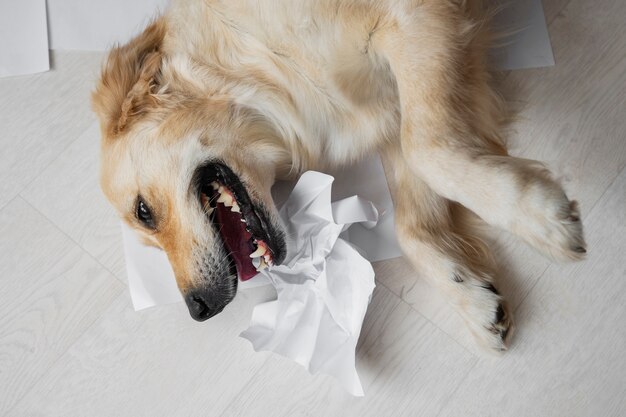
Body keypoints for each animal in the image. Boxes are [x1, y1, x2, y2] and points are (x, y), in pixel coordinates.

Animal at [92, 0, 584, 352]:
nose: (197, 309)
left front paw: (535, 213)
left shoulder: (414, 22)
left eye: (143, 211)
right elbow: (411, 224)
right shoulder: (392, 106)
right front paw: (468, 293)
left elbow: (429, 151)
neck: (254, 66)